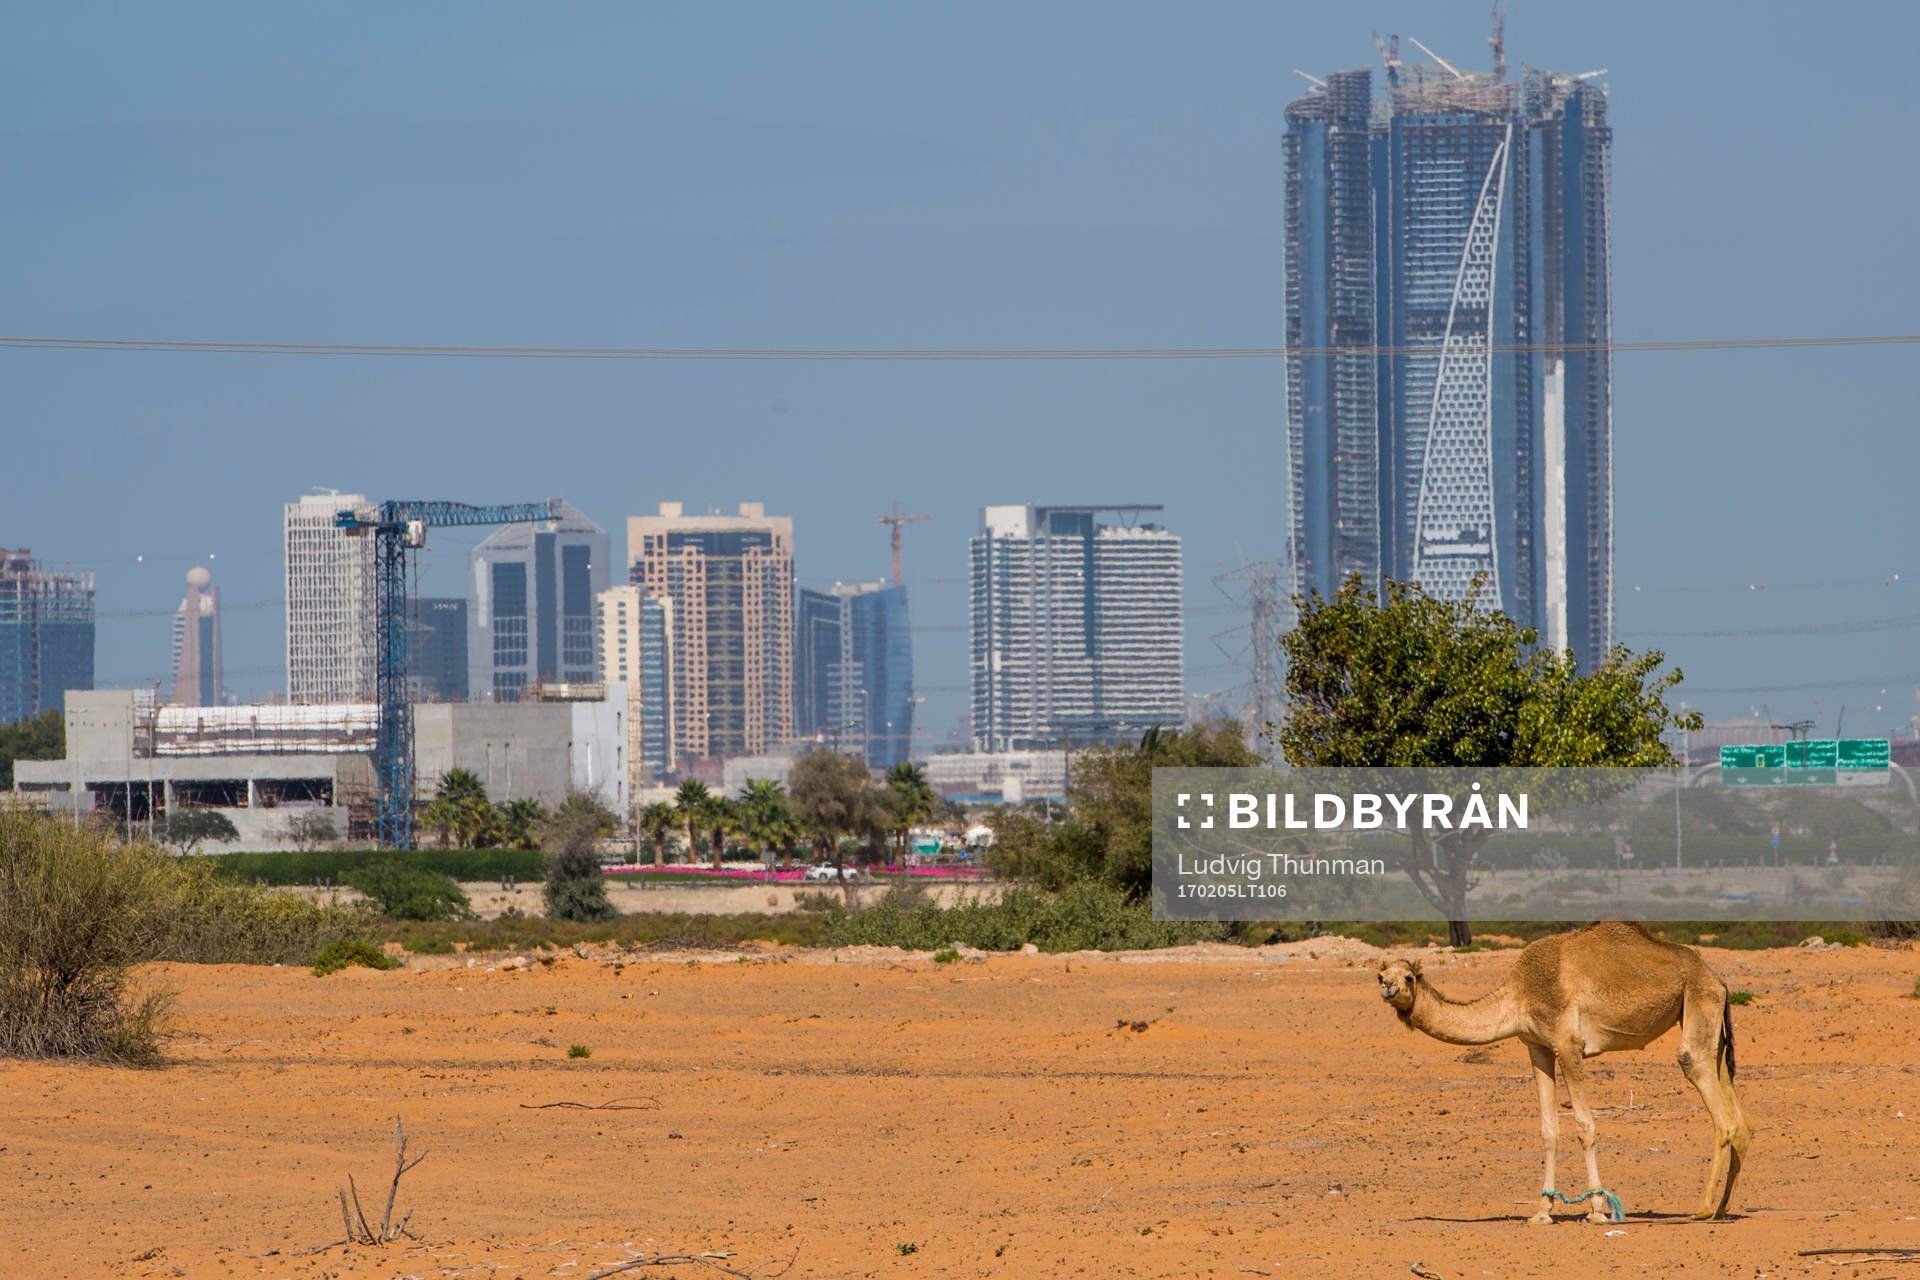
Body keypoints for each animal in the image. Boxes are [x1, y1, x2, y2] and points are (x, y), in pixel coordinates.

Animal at [1375, 921, 1751, 1224]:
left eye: (1408, 977)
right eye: (1381, 975)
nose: (1388, 988)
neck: (1521, 992)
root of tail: (1719, 980)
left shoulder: (1569, 1046)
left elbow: (1585, 1126)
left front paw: (1597, 1209)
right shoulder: (1538, 1047)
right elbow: (1548, 1129)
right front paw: (1542, 1211)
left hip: (1698, 1001)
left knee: (1713, 1100)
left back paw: (1702, 1209)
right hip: (1707, 1022)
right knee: (1741, 1119)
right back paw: (1722, 1209)